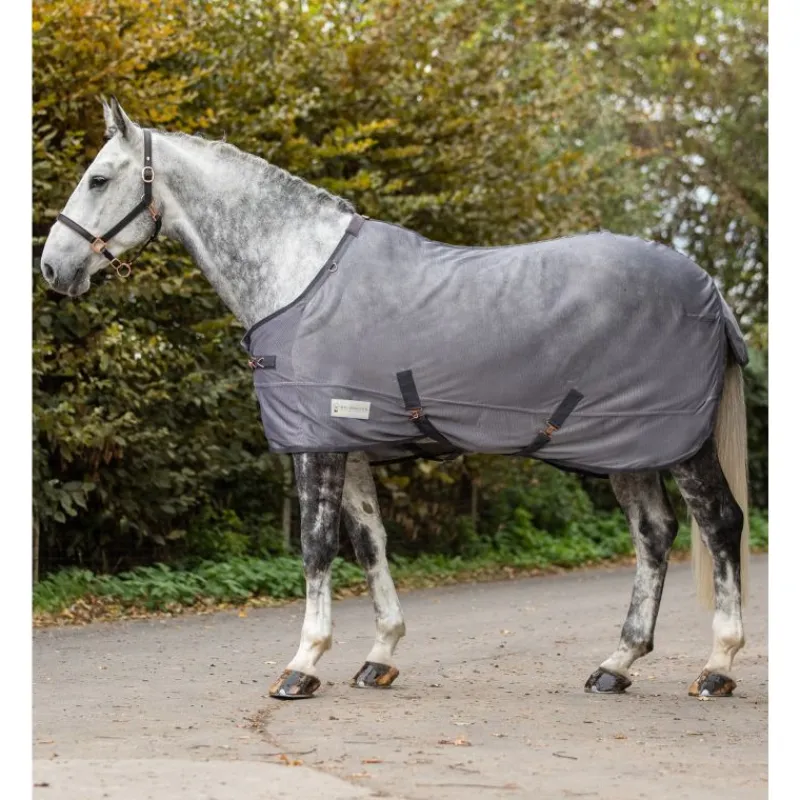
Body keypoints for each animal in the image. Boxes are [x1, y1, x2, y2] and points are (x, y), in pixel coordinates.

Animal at [40, 99, 749, 701]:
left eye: (98, 179)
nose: (52, 268)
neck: (301, 275)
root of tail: (709, 287)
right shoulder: (348, 443)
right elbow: (370, 541)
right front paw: (379, 655)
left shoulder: (317, 444)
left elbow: (317, 544)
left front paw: (302, 665)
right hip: (630, 450)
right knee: (654, 534)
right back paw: (615, 666)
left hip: (678, 444)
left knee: (719, 523)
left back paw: (717, 666)